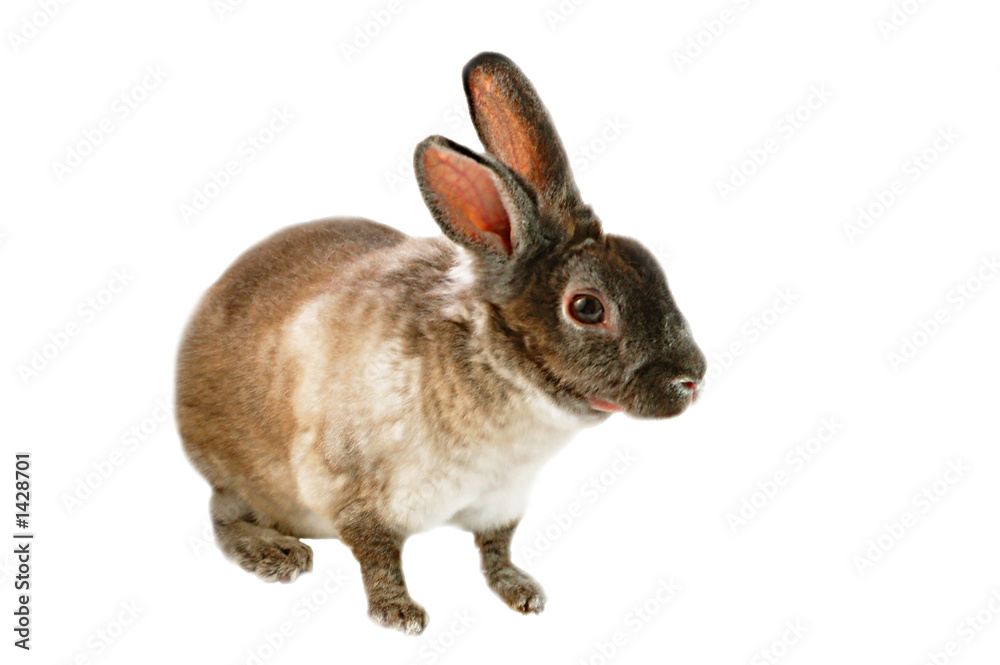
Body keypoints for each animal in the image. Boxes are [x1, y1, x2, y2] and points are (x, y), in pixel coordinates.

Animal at [176, 52, 706, 636]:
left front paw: (522, 593)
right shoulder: (351, 492)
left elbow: (495, 549)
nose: (693, 379)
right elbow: (378, 556)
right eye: (587, 308)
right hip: (241, 479)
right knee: (222, 516)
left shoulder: (502, 499)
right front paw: (399, 615)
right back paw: (276, 554)